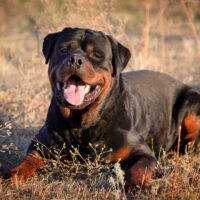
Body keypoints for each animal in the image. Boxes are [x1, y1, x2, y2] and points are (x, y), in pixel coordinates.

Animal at [5, 27, 200, 188]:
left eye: (97, 55)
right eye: (63, 50)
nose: (75, 59)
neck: (80, 124)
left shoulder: (143, 154)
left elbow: (139, 169)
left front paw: (132, 185)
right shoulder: (39, 147)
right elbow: (27, 161)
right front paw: (12, 176)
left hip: (191, 104)